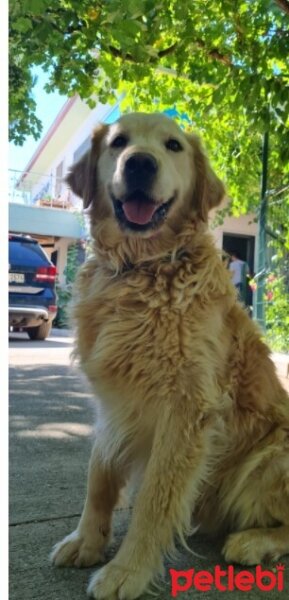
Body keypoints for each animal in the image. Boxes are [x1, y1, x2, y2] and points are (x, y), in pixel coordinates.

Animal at [50, 113, 288, 600]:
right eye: (118, 141)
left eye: (173, 145)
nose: (139, 163)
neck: (140, 268)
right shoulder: (112, 400)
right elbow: (98, 477)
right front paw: (86, 541)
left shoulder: (186, 407)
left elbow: (154, 499)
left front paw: (129, 570)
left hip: (272, 458)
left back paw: (253, 541)